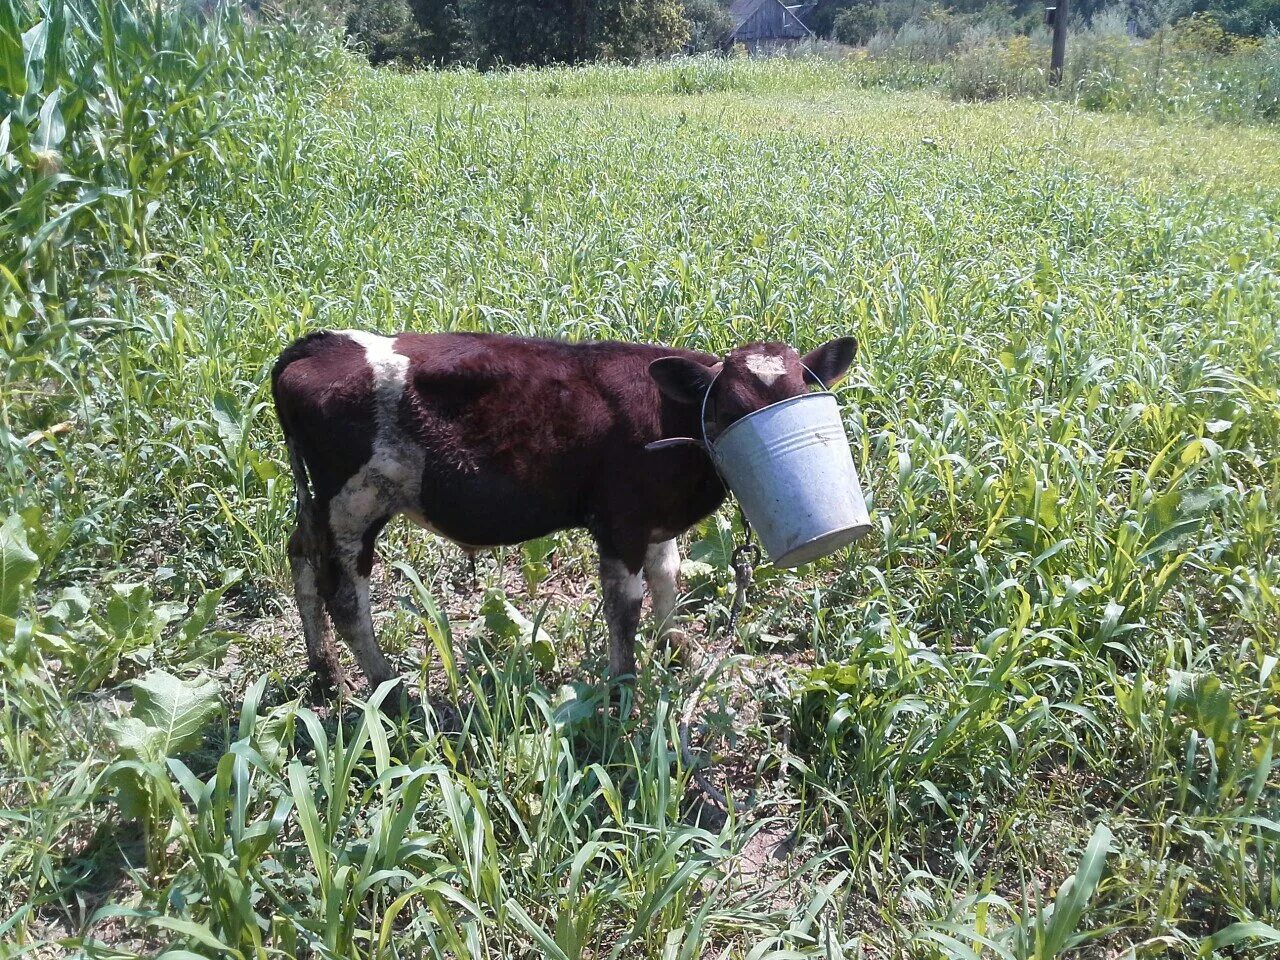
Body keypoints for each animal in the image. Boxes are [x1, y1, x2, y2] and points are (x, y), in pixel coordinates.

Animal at [270, 330, 855, 701]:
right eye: (730, 409)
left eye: (800, 395)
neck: (671, 420)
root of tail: (321, 343)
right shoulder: (620, 524)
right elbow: (625, 609)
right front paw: (623, 690)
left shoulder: (655, 518)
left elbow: (667, 576)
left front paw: (675, 646)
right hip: (353, 505)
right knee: (345, 598)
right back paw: (389, 691)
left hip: (323, 508)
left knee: (300, 556)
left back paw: (325, 672)